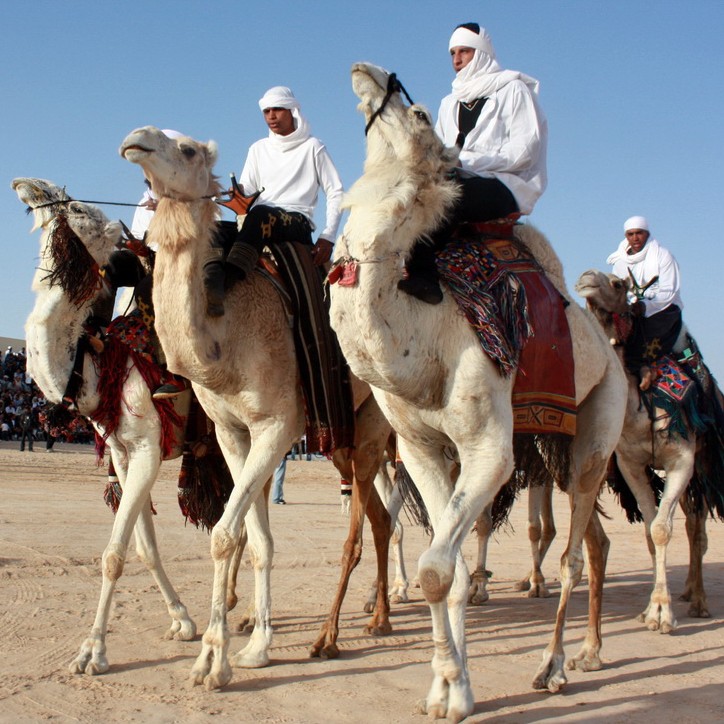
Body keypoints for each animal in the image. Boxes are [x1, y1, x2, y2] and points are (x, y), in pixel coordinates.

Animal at [12, 178, 198, 676]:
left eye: (76, 207)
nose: (24, 185)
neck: (94, 368)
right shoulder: (124, 452)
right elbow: (144, 548)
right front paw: (183, 621)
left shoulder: (150, 448)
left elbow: (114, 555)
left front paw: (91, 652)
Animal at [119, 127, 402, 688]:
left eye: (187, 149)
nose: (134, 141)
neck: (223, 336)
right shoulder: (232, 431)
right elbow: (255, 537)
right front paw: (252, 644)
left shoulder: (278, 425)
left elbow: (226, 534)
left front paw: (215, 660)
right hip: (343, 441)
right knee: (381, 518)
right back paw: (376, 617)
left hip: (367, 431)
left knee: (366, 527)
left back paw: (333, 637)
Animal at [328, 65, 628, 720]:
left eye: (417, 115)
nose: (368, 72)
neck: (418, 336)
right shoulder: (420, 447)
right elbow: (452, 570)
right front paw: (447, 688)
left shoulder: (491, 448)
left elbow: (437, 571)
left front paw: (453, 691)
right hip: (551, 446)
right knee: (592, 540)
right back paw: (583, 654)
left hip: (601, 420)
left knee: (572, 553)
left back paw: (554, 667)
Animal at [576, 268, 720, 632]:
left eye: (617, 284)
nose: (585, 278)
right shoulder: (631, 464)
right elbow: (650, 529)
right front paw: (650, 610)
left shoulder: (681, 460)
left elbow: (662, 529)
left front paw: (664, 615)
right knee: (691, 523)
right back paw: (689, 592)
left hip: (702, 467)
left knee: (696, 527)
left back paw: (699, 601)